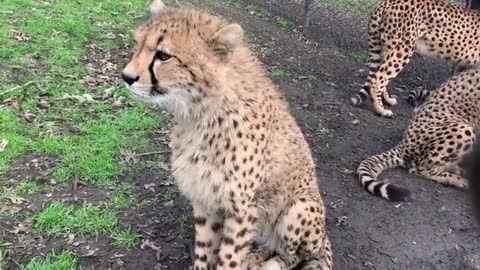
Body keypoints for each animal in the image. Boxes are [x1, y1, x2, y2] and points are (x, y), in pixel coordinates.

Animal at [123, 1, 334, 268]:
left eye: (164, 55)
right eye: (138, 43)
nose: (126, 77)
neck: (202, 114)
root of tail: (324, 237)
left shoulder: (243, 210)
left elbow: (229, 259)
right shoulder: (206, 200)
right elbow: (205, 251)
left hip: (298, 209)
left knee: (292, 256)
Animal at [350, 0, 480, 118]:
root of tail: (386, 2)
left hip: (387, 48)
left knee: (379, 75)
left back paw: (388, 100)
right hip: (402, 50)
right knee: (378, 79)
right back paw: (381, 110)